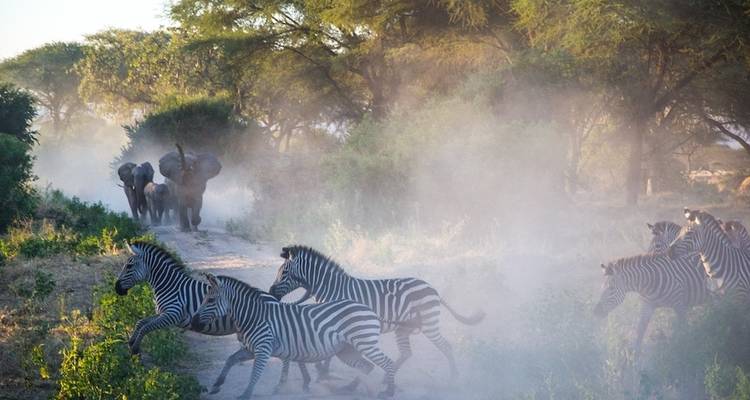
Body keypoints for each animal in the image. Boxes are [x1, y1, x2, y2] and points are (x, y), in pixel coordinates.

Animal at [114, 241, 315, 394]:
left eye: (129, 266)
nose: (117, 289)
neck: (170, 285)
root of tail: (274, 298)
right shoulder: (162, 314)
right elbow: (141, 322)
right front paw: (131, 343)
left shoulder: (172, 314)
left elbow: (146, 327)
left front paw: (135, 349)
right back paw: (303, 380)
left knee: (287, 356)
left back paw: (284, 385)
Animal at [191, 273, 398, 399]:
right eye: (204, 299)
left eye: (210, 300)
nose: (193, 322)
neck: (253, 316)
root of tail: (369, 309)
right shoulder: (250, 349)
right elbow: (230, 360)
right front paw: (217, 385)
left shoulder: (263, 349)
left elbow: (255, 374)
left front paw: (246, 395)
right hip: (346, 350)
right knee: (366, 367)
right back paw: (357, 389)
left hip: (364, 344)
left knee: (387, 364)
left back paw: (387, 392)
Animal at [268, 245, 486, 377]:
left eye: (283, 272)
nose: (270, 292)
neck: (332, 289)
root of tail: (433, 289)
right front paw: (323, 371)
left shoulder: (337, 322)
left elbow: (330, 351)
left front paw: (322, 371)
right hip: (404, 328)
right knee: (406, 353)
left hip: (429, 324)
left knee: (446, 347)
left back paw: (453, 378)